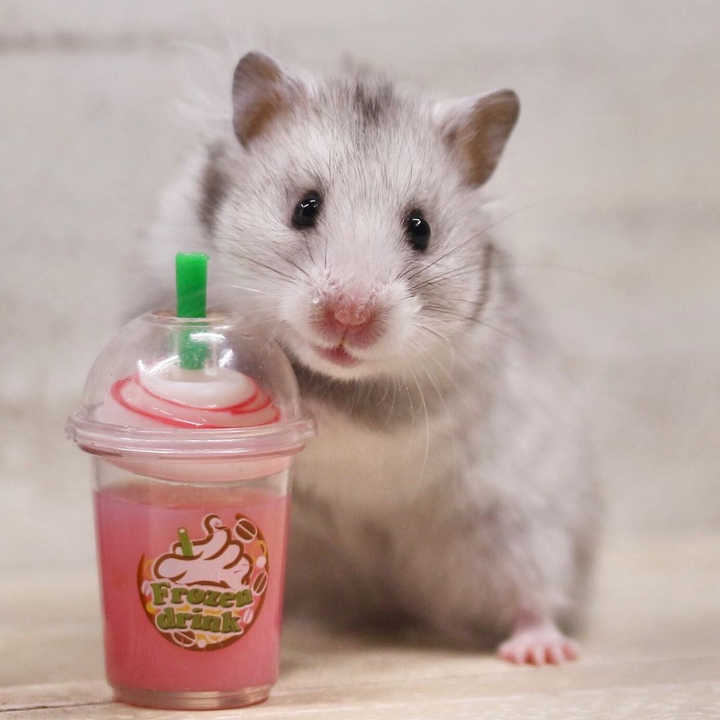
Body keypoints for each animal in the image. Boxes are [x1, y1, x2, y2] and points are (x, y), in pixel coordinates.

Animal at [144, 51, 600, 665]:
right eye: (304, 208)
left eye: (421, 228)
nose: (349, 317)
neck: (332, 372)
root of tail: (391, 601)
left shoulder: (412, 416)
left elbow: (343, 419)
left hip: (516, 529)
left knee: (531, 595)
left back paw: (540, 651)